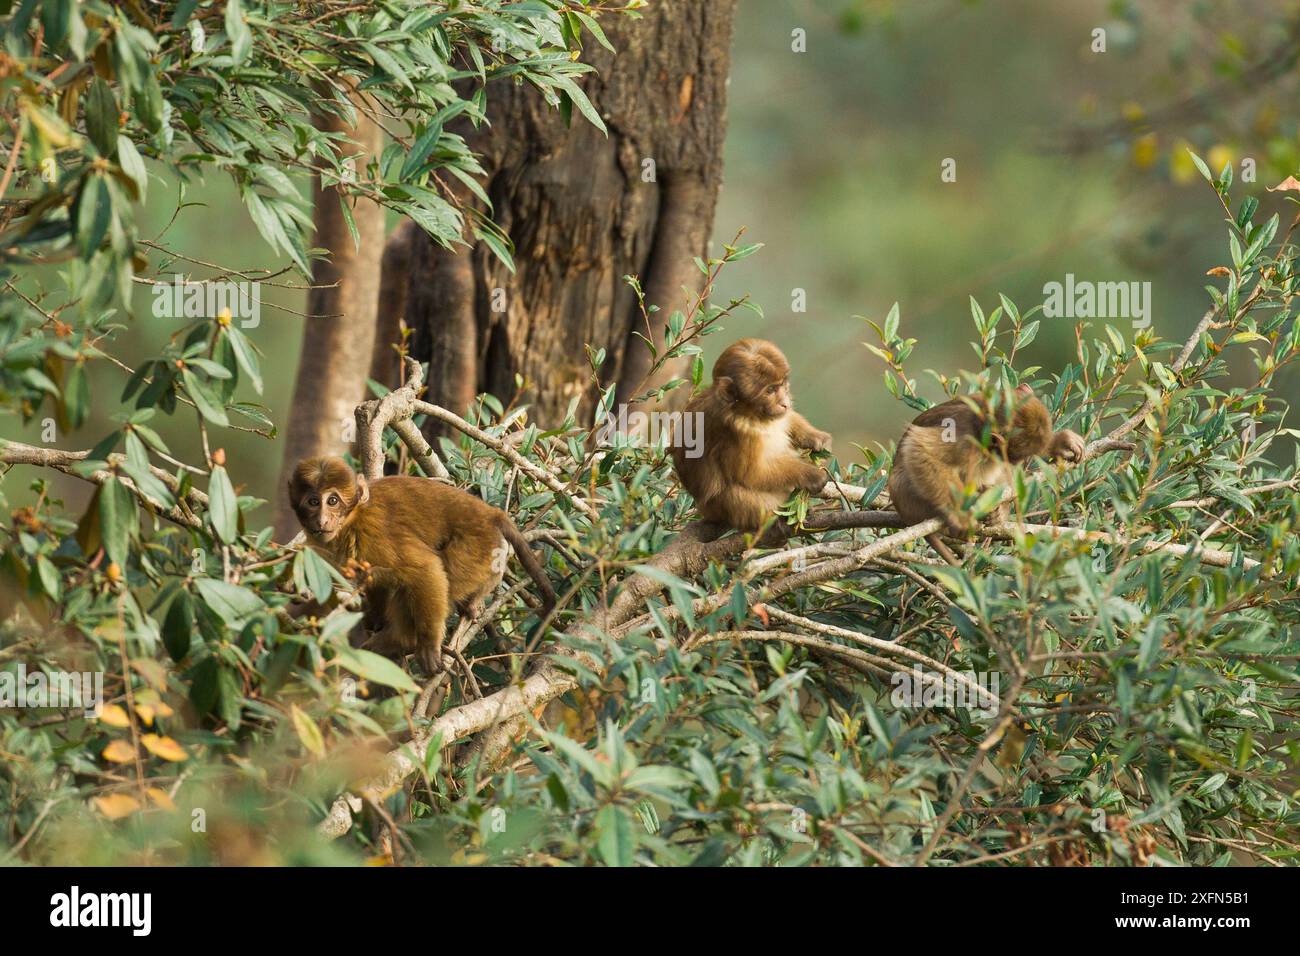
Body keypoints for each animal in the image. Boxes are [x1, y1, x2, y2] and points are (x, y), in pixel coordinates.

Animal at [287, 457, 556, 673]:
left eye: (332, 500)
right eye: (313, 502)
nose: (322, 520)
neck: (351, 519)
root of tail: (490, 514)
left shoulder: (372, 531)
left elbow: (425, 568)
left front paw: (427, 645)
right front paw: (373, 616)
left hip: (475, 547)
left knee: (426, 578)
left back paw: (401, 640)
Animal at [670, 338, 833, 537]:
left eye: (782, 385)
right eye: (770, 391)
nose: (784, 403)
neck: (749, 414)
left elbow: (785, 420)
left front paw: (815, 437)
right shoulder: (738, 433)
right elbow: (752, 474)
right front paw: (810, 475)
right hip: (719, 510)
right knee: (732, 493)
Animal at [887, 383, 1085, 562]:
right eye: (1015, 456)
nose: (1016, 462)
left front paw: (1061, 442)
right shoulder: (963, 438)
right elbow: (919, 447)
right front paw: (959, 516)